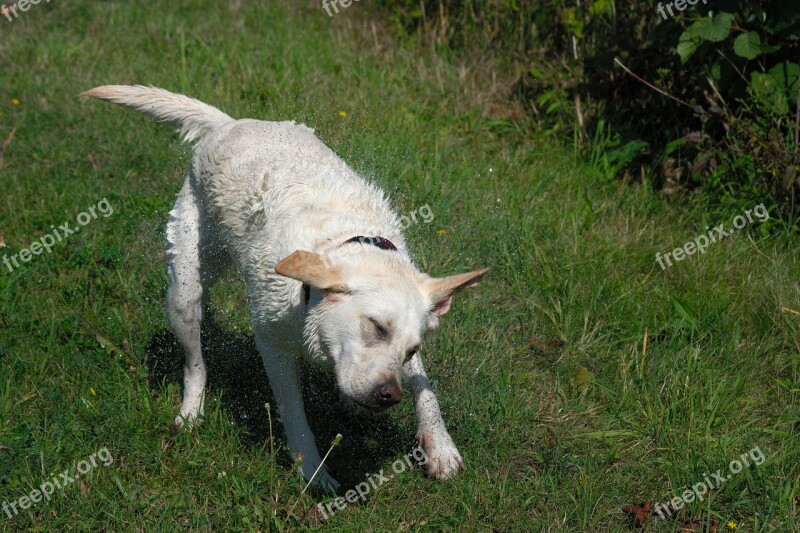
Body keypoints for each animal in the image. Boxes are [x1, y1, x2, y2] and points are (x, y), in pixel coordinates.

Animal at [84, 85, 490, 488]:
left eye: (411, 349)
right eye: (375, 327)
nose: (390, 396)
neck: (341, 243)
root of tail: (230, 122)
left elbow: (425, 388)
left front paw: (440, 446)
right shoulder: (273, 343)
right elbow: (294, 414)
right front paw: (313, 471)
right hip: (185, 289)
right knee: (195, 362)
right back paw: (192, 410)